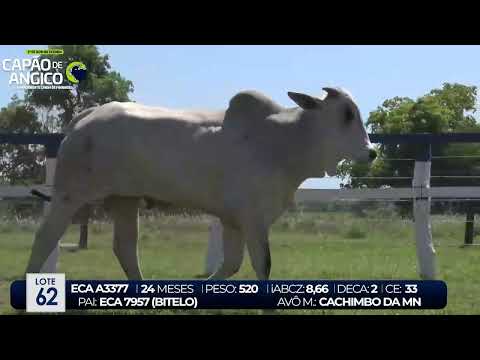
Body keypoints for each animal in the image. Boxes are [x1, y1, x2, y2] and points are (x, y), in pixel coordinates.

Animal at [26, 87, 376, 282]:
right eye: (346, 114)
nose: (371, 152)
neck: (283, 141)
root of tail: (88, 116)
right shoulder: (253, 218)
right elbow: (262, 264)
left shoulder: (235, 220)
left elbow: (232, 265)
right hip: (70, 195)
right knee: (44, 238)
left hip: (125, 199)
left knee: (125, 247)